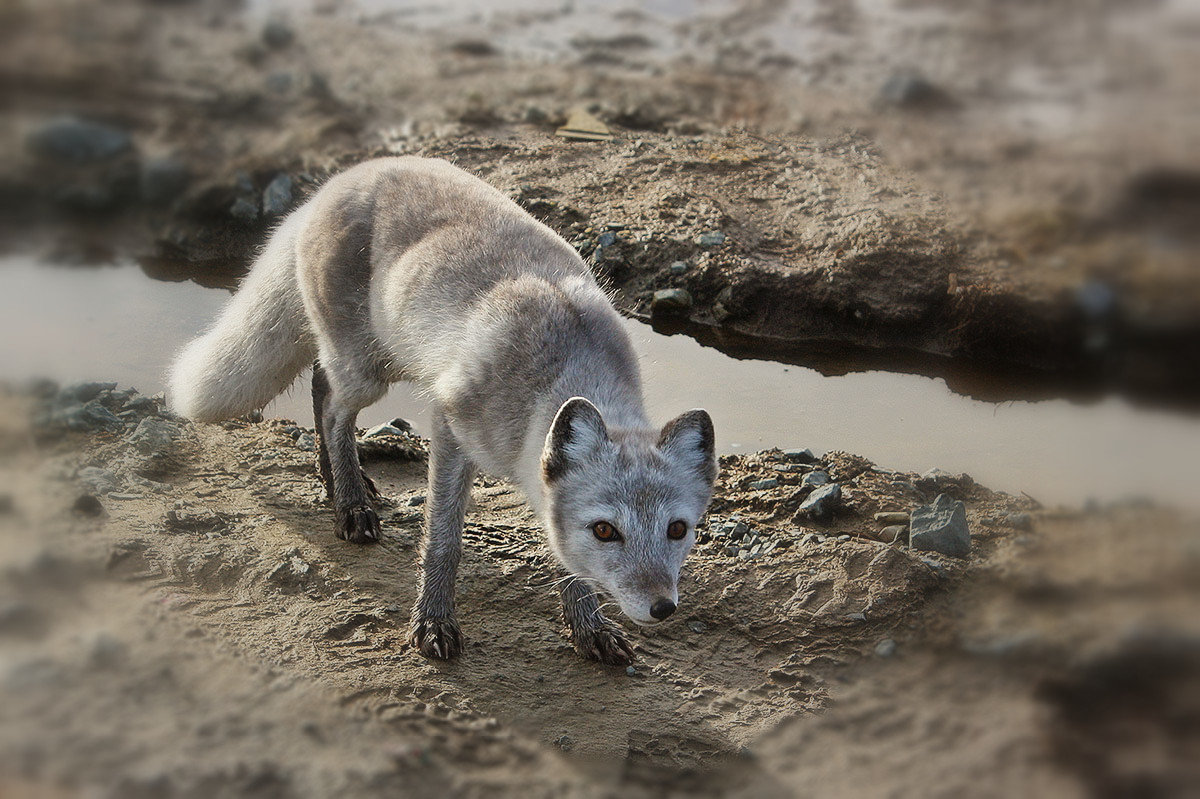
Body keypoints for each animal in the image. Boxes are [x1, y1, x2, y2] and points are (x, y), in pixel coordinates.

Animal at [169, 157, 710, 667]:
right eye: (605, 531)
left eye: (677, 530)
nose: (662, 608)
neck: (557, 370)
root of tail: (335, 183)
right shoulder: (449, 426)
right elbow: (443, 540)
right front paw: (432, 622)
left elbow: (568, 564)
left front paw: (588, 628)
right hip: (366, 371)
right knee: (332, 409)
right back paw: (350, 504)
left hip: (373, 361)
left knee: (321, 386)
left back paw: (335, 480)